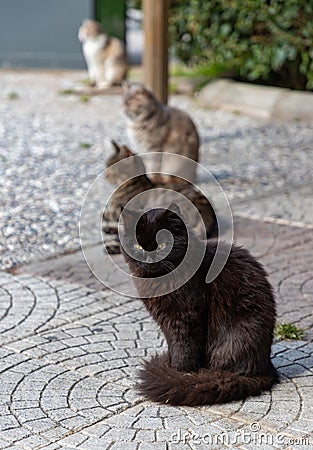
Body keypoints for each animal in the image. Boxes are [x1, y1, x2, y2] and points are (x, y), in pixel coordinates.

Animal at [120, 206, 278, 406]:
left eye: (162, 246)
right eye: (138, 247)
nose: (149, 260)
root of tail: (266, 369)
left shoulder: (186, 319)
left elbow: (184, 350)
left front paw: (177, 375)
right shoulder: (167, 322)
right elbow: (173, 346)